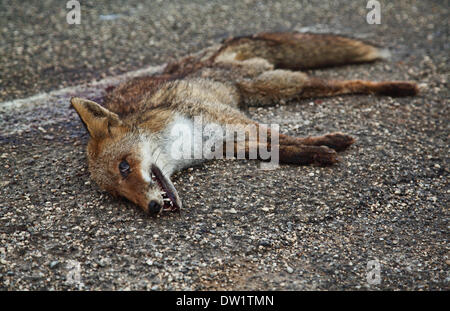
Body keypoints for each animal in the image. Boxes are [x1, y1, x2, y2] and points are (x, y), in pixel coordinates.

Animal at [70, 32, 418, 217]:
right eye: (120, 196)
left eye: (124, 167)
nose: (152, 208)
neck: (187, 149)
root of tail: (204, 59)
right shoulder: (230, 144)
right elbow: (281, 149)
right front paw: (316, 154)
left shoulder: (233, 122)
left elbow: (283, 137)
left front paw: (328, 143)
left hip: (272, 86)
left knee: (348, 83)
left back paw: (398, 87)